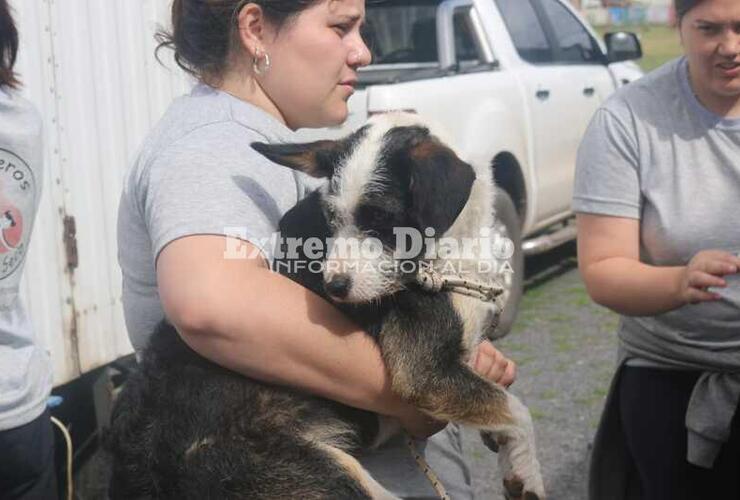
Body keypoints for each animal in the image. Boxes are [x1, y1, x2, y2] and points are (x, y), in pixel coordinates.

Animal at [104, 113, 544, 500]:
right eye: (331, 218)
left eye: (382, 218)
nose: (333, 288)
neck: (449, 250)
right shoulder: (426, 374)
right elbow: (516, 409)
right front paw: (528, 471)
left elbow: (494, 397)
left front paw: (509, 458)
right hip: (321, 475)